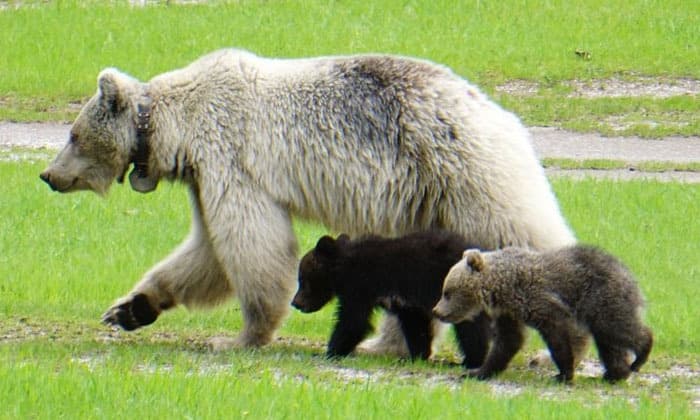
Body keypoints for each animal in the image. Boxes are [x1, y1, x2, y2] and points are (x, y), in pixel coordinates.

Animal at [39, 48, 576, 352]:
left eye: (72, 134)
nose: (48, 175)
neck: (177, 129)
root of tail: (500, 112)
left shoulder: (230, 159)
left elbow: (251, 243)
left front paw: (241, 336)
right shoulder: (202, 177)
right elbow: (206, 252)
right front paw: (129, 308)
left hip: (465, 173)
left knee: (522, 233)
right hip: (427, 200)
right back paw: (388, 344)